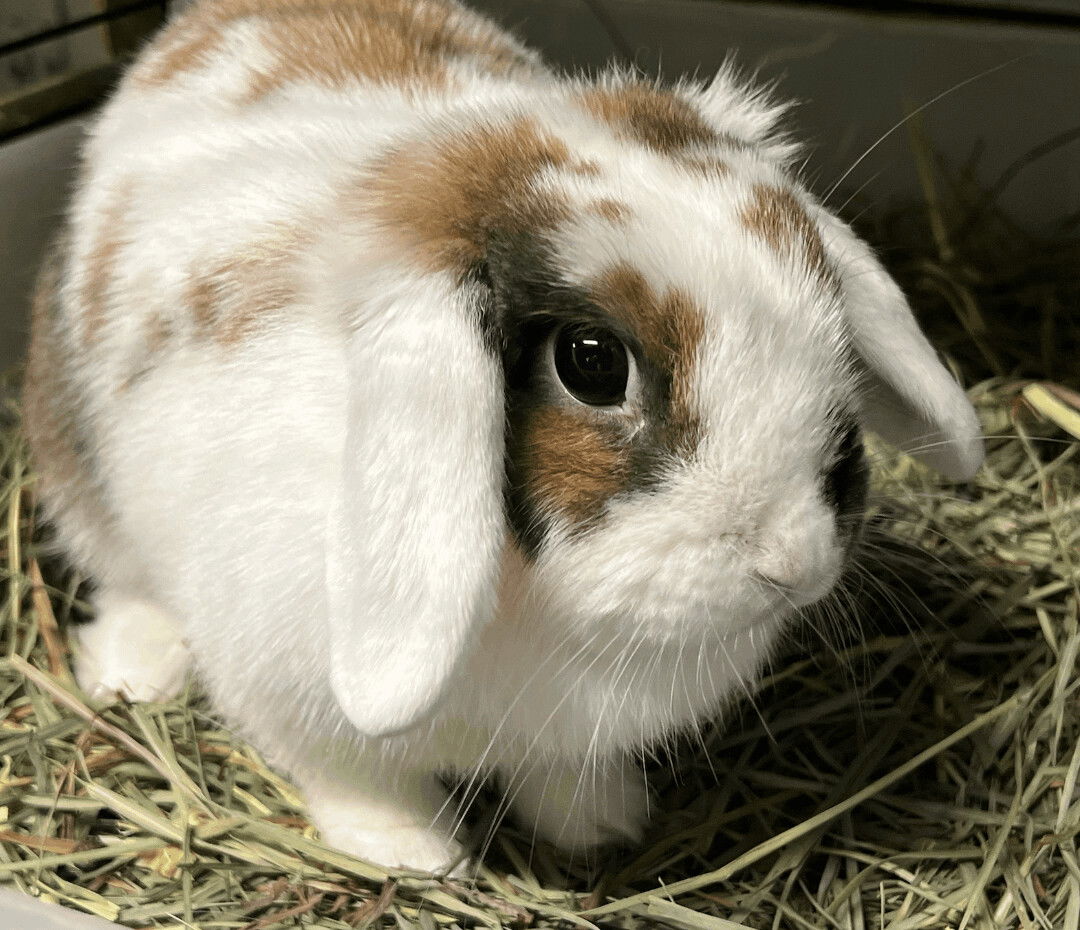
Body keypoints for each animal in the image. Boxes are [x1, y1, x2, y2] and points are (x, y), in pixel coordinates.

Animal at [21, 0, 984, 872]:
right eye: (591, 363)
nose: (795, 564)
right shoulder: (295, 702)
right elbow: (358, 782)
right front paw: (413, 855)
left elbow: (559, 775)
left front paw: (604, 825)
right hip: (78, 467)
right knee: (122, 577)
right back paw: (133, 670)